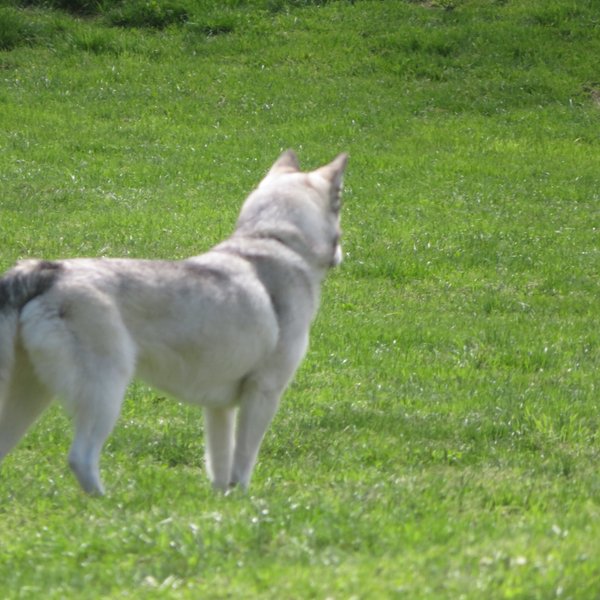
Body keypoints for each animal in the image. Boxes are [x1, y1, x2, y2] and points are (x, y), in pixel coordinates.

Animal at [0, 151, 346, 496]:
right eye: (340, 206)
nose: (342, 254)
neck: (272, 239)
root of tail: (47, 272)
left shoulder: (219, 409)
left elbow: (220, 465)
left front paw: (223, 502)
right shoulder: (264, 392)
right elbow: (243, 463)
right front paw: (243, 500)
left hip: (30, 396)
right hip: (104, 392)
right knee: (81, 457)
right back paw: (111, 503)